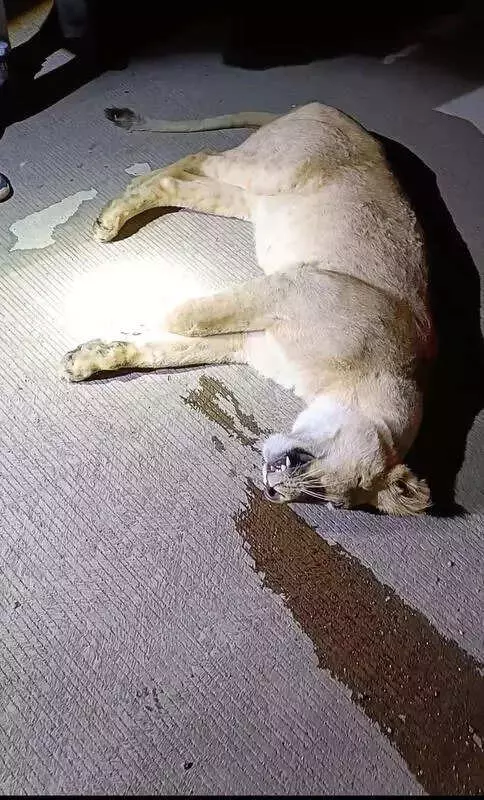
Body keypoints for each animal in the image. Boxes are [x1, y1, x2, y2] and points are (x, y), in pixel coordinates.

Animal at [61, 102, 435, 513]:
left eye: (330, 504)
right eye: (322, 489)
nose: (273, 492)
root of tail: (331, 109)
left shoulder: (248, 343)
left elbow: (167, 349)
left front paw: (90, 357)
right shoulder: (297, 286)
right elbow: (186, 317)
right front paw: (141, 313)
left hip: (250, 198)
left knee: (180, 181)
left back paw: (123, 202)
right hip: (268, 171)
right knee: (199, 157)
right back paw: (112, 218)